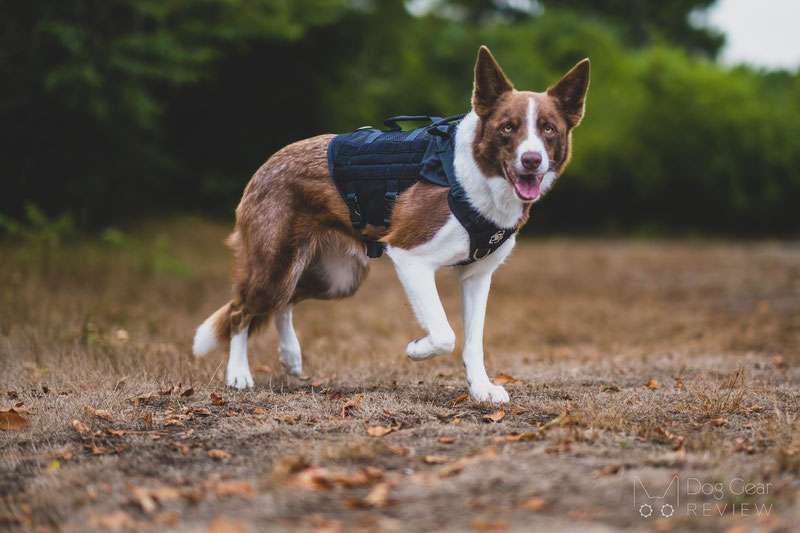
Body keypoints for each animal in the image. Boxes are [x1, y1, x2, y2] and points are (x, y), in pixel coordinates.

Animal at [193, 46, 588, 404]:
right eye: (508, 127)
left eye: (549, 129)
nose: (532, 159)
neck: (476, 176)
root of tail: (267, 164)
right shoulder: (410, 256)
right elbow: (444, 334)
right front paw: (416, 349)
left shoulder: (478, 274)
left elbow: (473, 341)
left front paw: (481, 389)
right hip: (277, 264)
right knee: (240, 310)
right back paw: (239, 374)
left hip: (337, 277)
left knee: (284, 302)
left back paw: (290, 357)